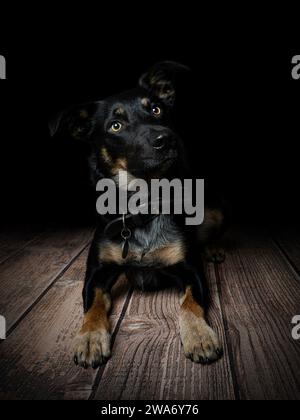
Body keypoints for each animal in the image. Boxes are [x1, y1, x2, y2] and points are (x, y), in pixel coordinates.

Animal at [50, 61, 226, 368]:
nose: (165, 138)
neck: (142, 205)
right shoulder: (96, 274)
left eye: (155, 109)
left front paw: (199, 335)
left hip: (212, 210)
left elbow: (190, 304)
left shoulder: (192, 271)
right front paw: (89, 338)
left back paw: (213, 248)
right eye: (115, 125)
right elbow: (92, 307)